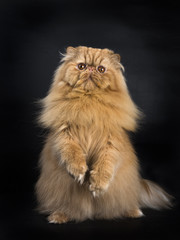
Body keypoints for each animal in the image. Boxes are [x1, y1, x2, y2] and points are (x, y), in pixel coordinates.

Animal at [35, 46, 172, 223]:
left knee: (122, 206)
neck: (89, 103)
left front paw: (98, 185)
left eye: (101, 69)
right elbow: (72, 153)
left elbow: (104, 166)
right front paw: (79, 171)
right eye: (81, 66)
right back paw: (58, 216)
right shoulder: (63, 135)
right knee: (67, 208)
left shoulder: (111, 142)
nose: (91, 69)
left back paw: (133, 212)